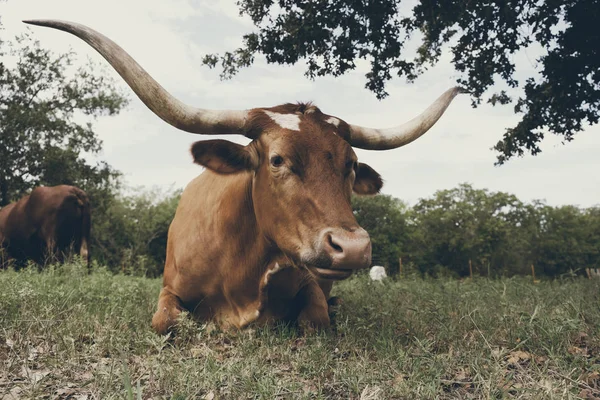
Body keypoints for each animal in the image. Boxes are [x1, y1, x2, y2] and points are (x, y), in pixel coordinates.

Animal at [24, 18, 460, 332]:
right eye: (278, 160)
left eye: (351, 165)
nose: (352, 247)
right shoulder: (168, 288)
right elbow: (164, 321)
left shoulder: (310, 284)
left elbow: (317, 319)